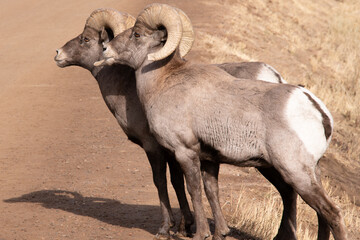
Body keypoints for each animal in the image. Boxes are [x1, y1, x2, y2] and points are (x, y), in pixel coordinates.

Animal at [54, 7, 290, 240]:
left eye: (85, 39)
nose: (58, 54)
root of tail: (273, 75)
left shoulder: (156, 147)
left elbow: (162, 182)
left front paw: (166, 229)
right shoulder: (175, 152)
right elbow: (179, 183)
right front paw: (186, 227)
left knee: (287, 190)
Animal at [97, 3, 348, 240]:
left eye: (137, 34)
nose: (105, 49)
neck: (162, 83)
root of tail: (318, 110)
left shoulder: (184, 151)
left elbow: (194, 191)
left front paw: (200, 234)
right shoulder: (209, 159)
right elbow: (211, 191)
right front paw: (219, 234)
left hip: (295, 172)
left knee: (331, 212)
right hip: (311, 171)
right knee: (321, 214)